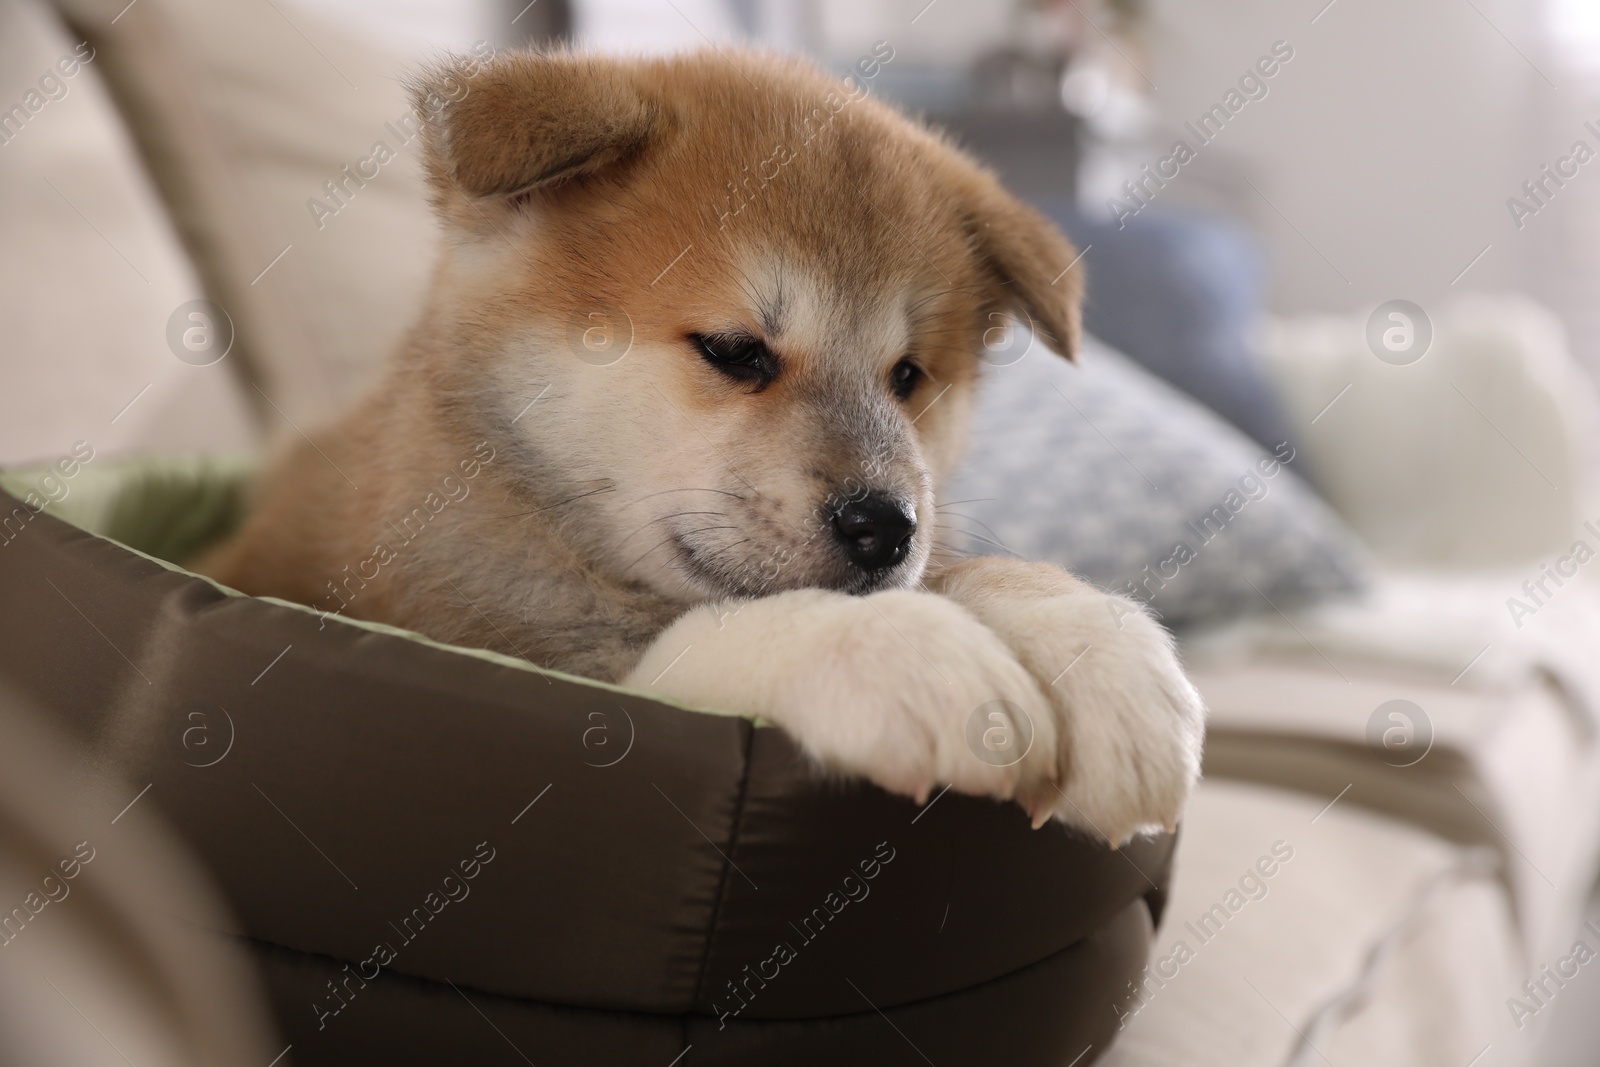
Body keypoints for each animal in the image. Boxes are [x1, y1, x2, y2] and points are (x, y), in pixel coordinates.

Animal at [200, 47, 1203, 844]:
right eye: (734, 350)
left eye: (909, 376)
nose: (886, 528)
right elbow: (715, 636)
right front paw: (890, 647)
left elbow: (978, 573)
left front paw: (1094, 649)